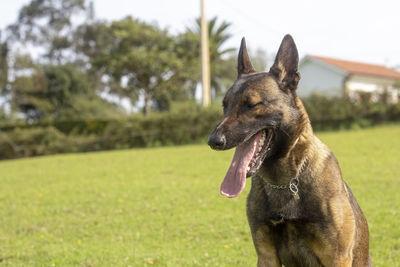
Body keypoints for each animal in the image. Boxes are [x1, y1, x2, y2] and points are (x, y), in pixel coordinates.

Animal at [208, 35, 370, 267]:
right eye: (225, 106)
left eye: (252, 104)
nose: (213, 141)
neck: (285, 180)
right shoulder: (266, 255)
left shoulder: (337, 256)